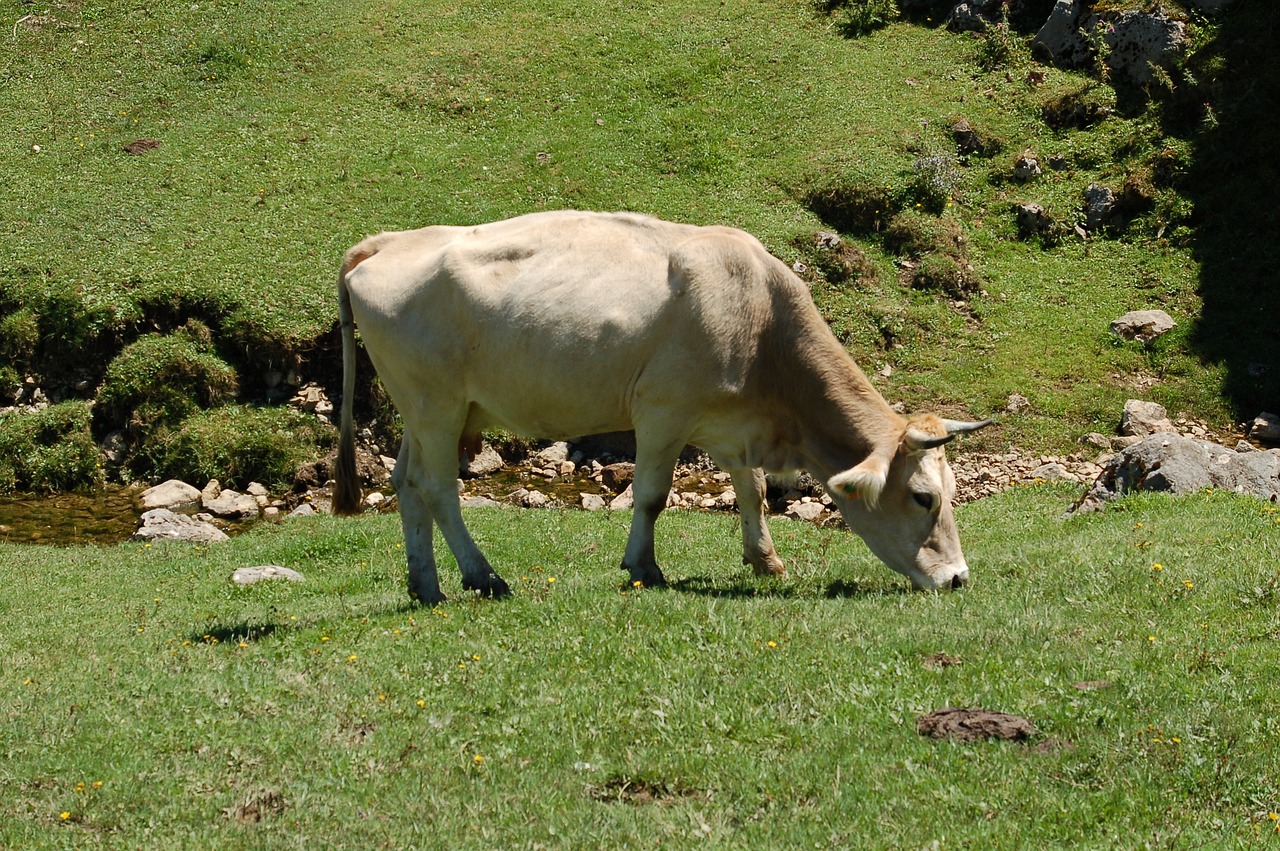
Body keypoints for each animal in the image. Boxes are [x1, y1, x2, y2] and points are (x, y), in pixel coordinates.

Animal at [330, 209, 988, 604]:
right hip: (435, 404)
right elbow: (651, 495)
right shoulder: (663, 412)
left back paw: (425, 585)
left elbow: (751, 491)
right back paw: (483, 576)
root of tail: (387, 242)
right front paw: (644, 567)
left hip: (426, 411)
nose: (958, 578)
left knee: (406, 482)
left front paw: (765, 560)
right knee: (438, 488)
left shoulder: (728, 423)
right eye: (923, 497)